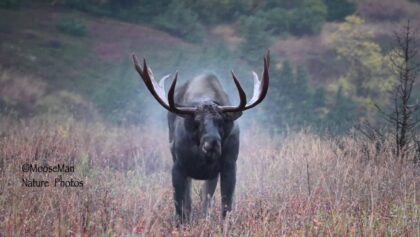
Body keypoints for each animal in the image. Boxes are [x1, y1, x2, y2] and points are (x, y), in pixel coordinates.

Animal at [132, 51, 270, 222]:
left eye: (221, 121)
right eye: (197, 122)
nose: (212, 143)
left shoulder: (229, 165)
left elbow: (226, 207)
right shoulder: (178, 166)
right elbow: (180, 207)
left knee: (207, 199)